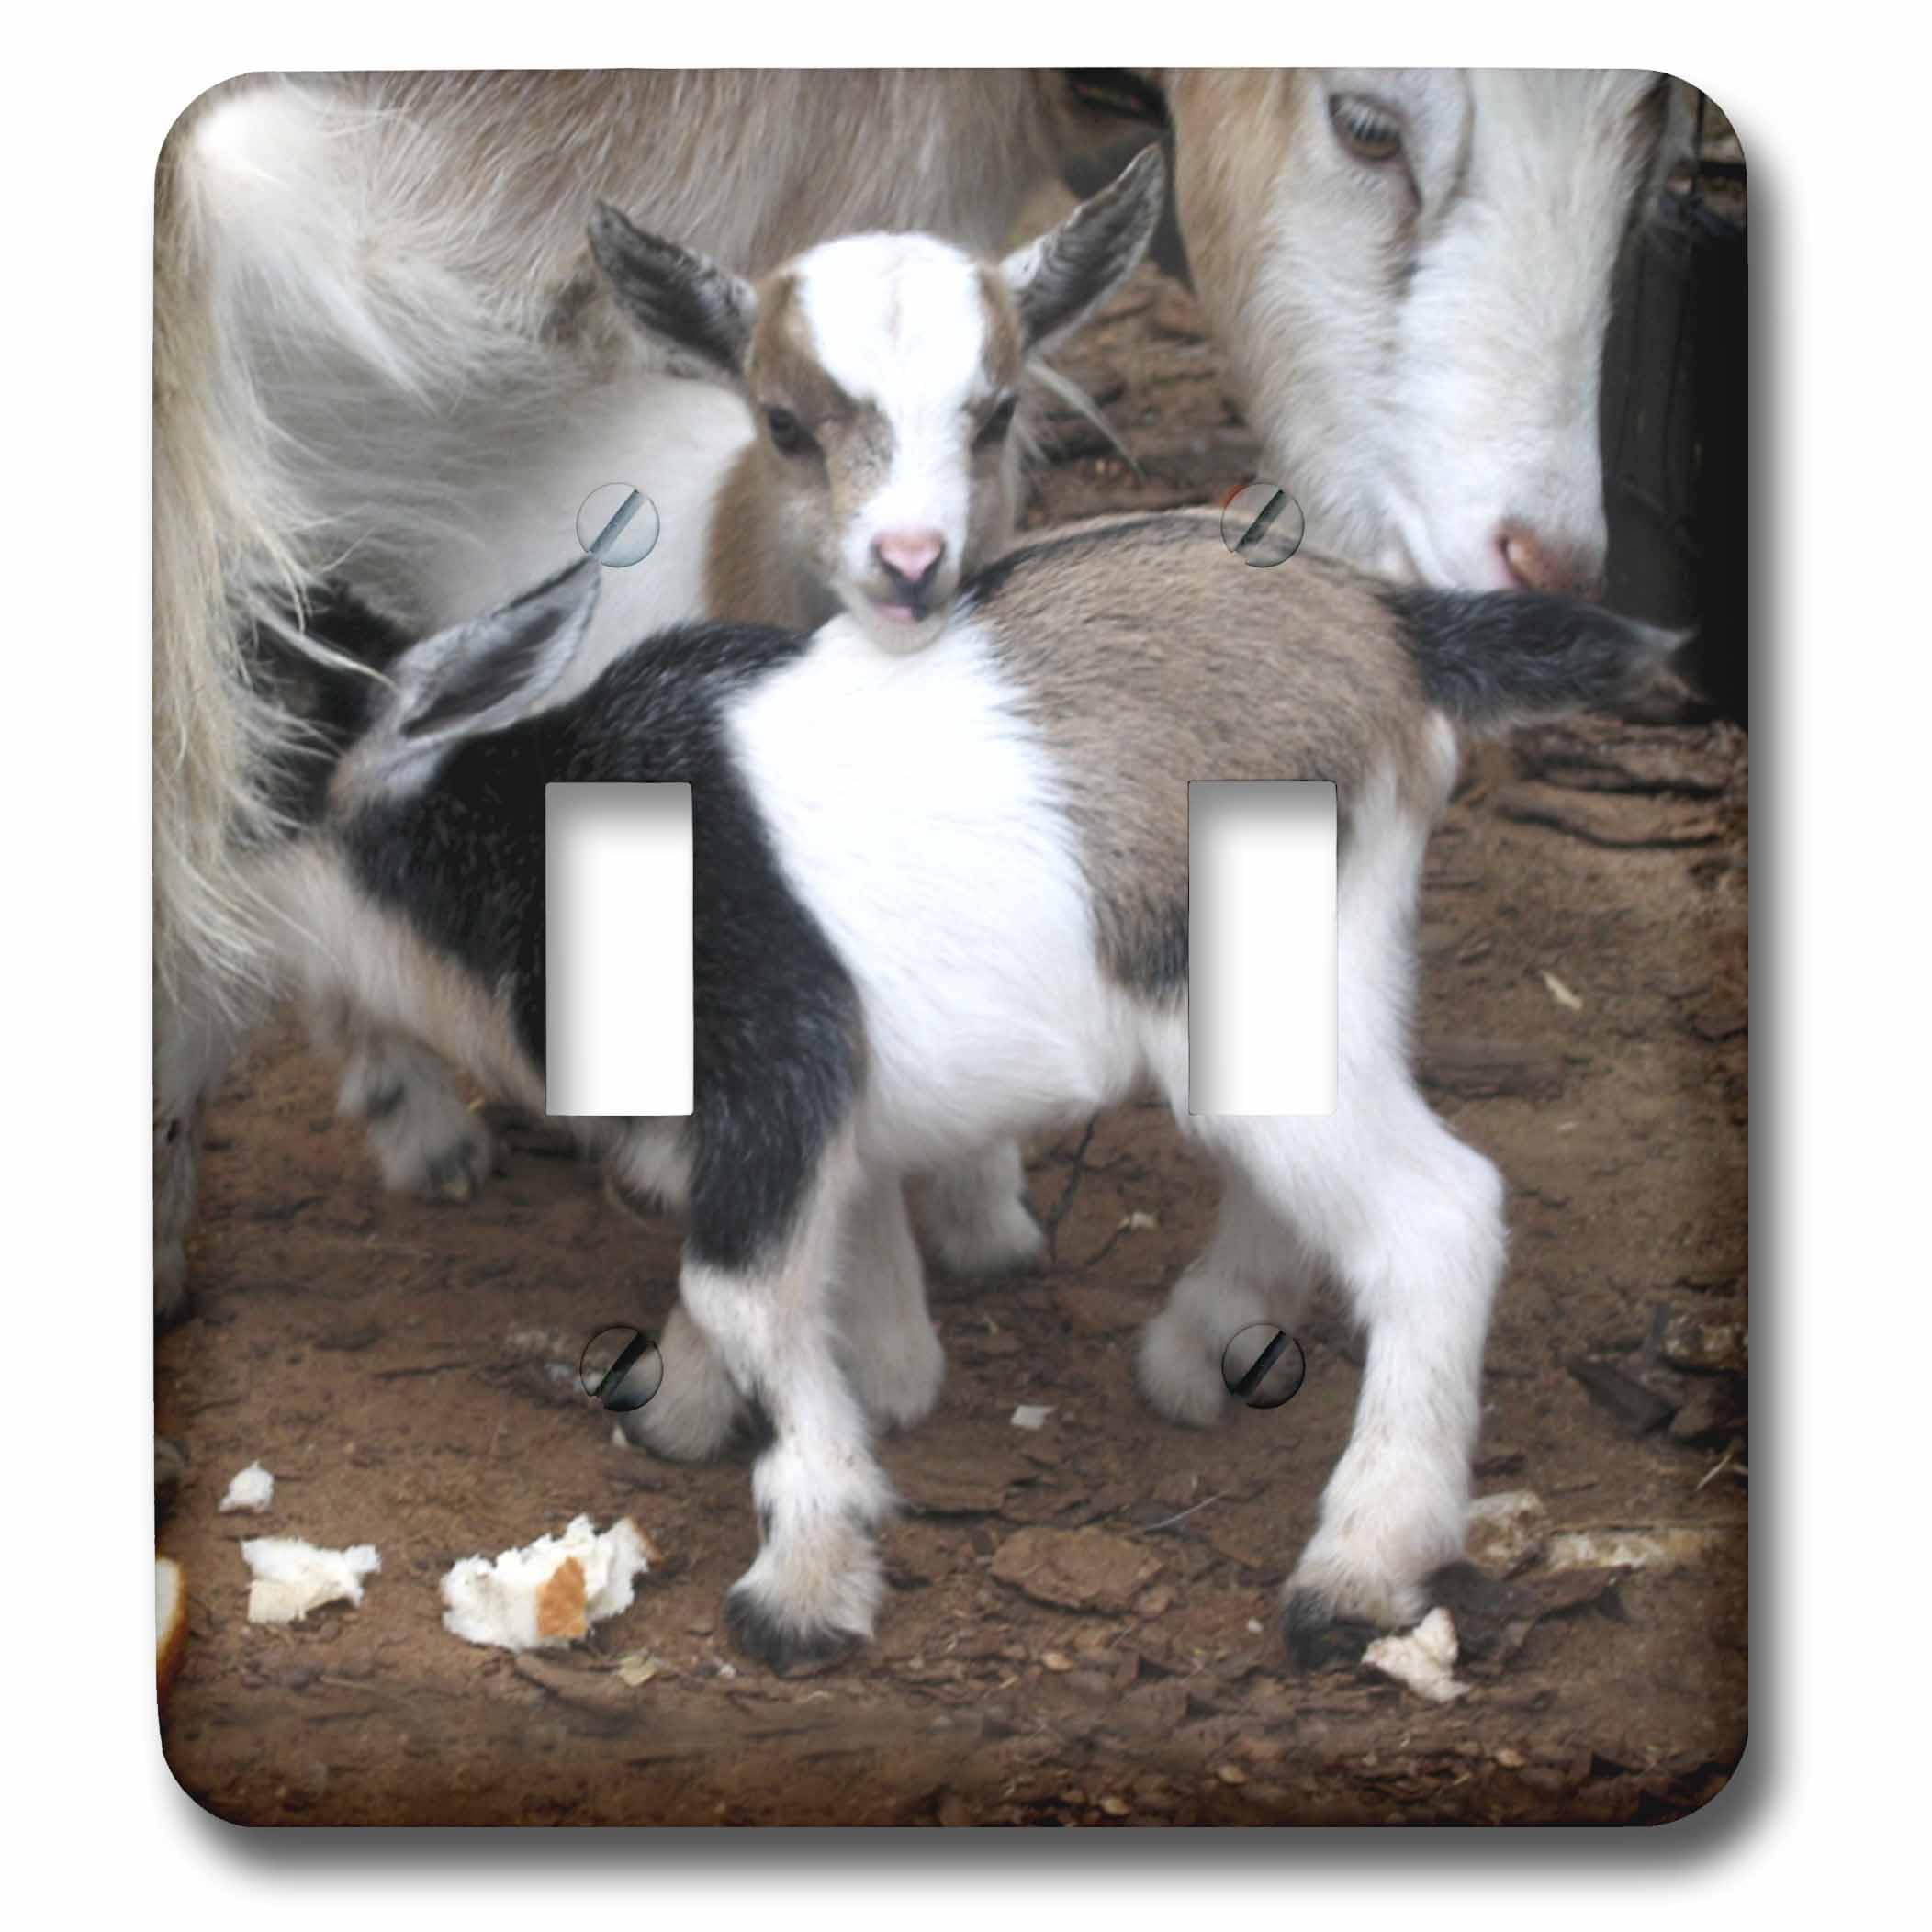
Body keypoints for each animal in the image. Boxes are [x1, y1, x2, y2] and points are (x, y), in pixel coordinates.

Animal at [246, 520, 1684, 1671]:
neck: (511, 842)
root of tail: (1396, 626)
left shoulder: (776, 1051)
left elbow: (737, 1285)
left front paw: (804, 1581)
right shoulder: (818, 1121)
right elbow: (837, 1294)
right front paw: (727, 1407)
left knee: (1438, 1214)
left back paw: (1360, 1565)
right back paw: (1204, 1347)